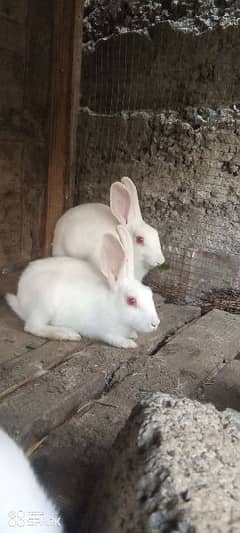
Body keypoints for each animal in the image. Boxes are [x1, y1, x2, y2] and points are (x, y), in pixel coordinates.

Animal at [6, 224, 159, 350]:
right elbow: (113, 338)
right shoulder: (104, 331)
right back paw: (67, 333)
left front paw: (133, 334)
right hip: (44, 304)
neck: (113, 306)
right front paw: (129, 343)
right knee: (32, 326)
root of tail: (20, 296)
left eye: (149, 293)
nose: (155, 323)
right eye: (131, 300)